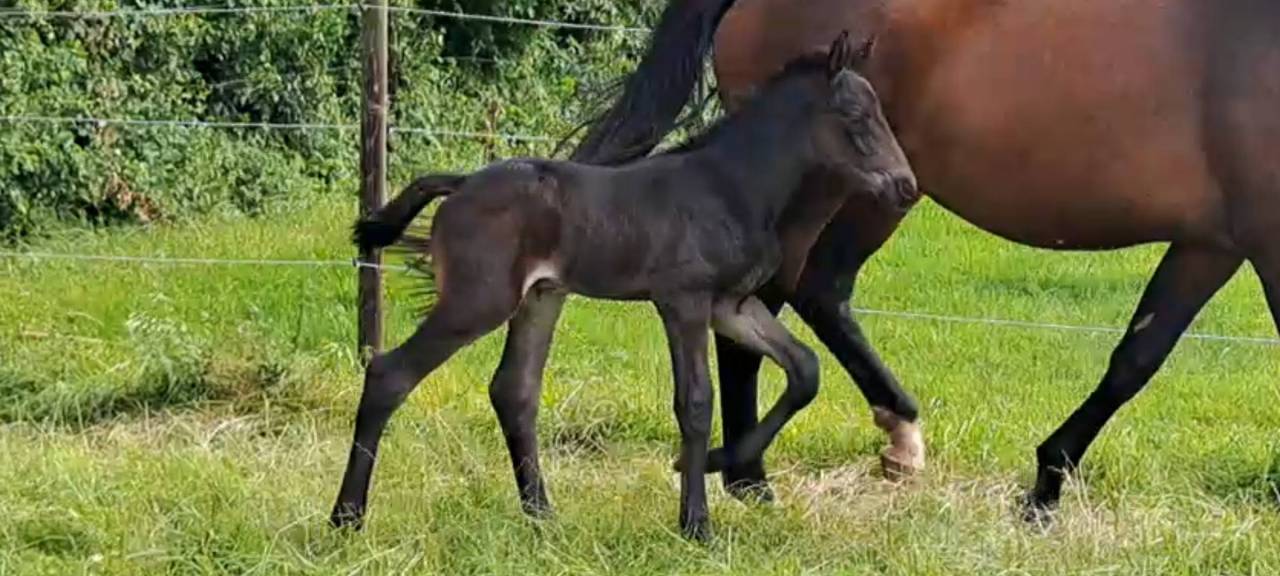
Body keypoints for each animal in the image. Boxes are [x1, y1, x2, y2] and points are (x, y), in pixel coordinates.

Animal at [328, 33, 917, 540]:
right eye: (856, 117)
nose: (906, 186)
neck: (733, 186)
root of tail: (461, 183)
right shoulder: (683, 300)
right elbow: (695, 402)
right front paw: (696, 523)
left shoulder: (730, 304)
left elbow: (805, 369)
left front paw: (718, 465)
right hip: (480, 299)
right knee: (391, 374)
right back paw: (346, 518)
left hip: (540, 297)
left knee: (514, 391)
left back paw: (543, 516)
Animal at [571, 0, 1280, 520]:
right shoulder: (1263, 242)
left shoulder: (1213, 244)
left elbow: (1136, 358)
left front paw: (1045, 485)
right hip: (841, 196)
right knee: (776, 303)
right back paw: (753, 478)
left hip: (875, 195)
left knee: (815, 293)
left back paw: (880, 443)